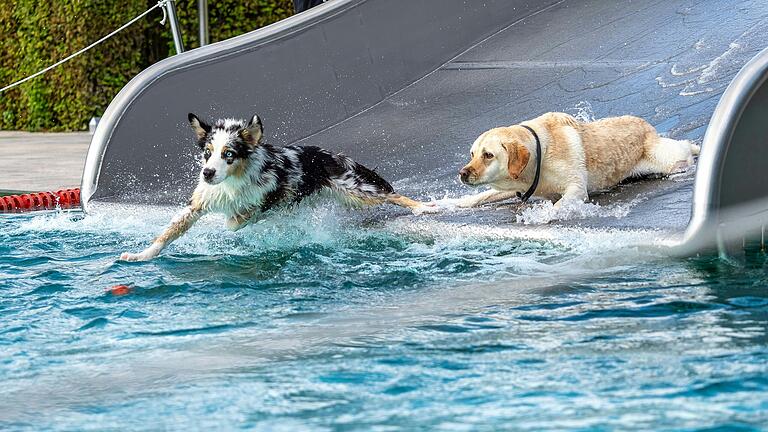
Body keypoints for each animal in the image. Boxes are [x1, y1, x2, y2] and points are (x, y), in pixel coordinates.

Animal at [120, 112, 432, 260]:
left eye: (228, 154)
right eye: (207, 152)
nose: (207, 173)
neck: (231, 180)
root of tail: (328, 154)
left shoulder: (274, 195)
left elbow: (239, 219)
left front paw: (234, 219)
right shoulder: (198, 203)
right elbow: (166, 234)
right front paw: (140, 255)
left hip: (355, 188)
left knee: (391, 194)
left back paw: (426, 207)